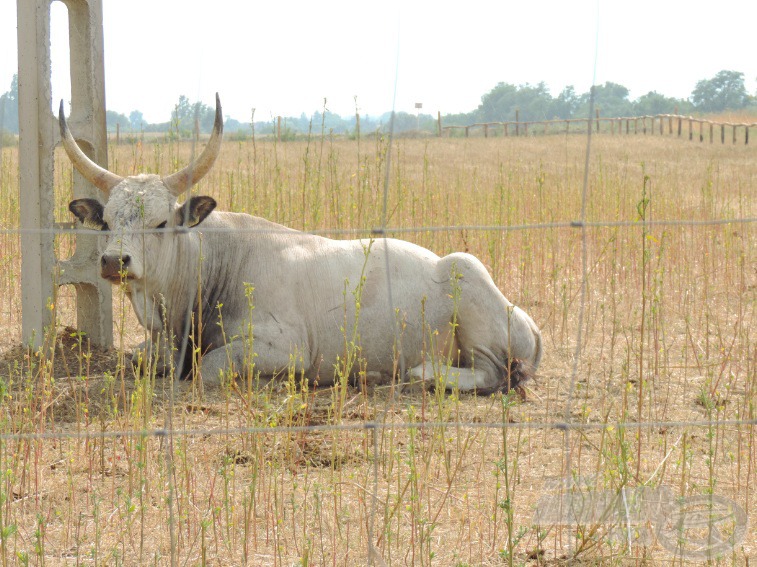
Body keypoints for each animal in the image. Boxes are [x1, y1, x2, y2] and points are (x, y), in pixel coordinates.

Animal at [62, 94, 540, 394]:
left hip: (469, 280)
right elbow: (141, 359)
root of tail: (526, 319)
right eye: (106, 223)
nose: (114, 261)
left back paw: (417, 375)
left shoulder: (284, 348)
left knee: (492, 375)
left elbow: (211, 369)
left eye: (161, 223)